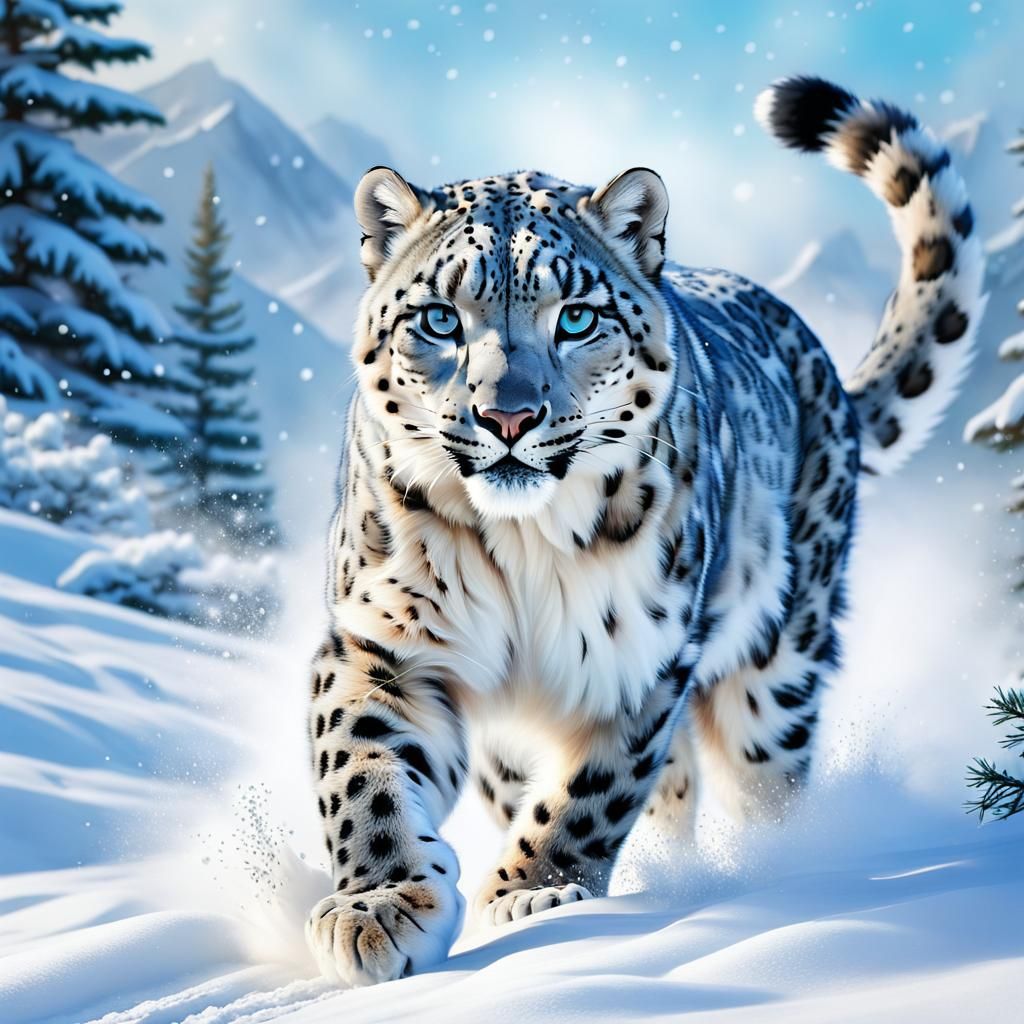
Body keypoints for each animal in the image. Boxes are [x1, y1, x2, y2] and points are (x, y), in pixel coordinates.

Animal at [303, 76, 984, 986]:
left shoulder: (640, 661)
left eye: (577, 317)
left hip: (779, 668)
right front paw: (379, 906)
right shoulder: (383, 639)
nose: (508, 416)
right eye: (441, 318)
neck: (522, 551)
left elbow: (590, 792)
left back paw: (767, 868)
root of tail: (829, 376)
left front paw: (533, 895)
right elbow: (362, 768)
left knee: (756, 778)